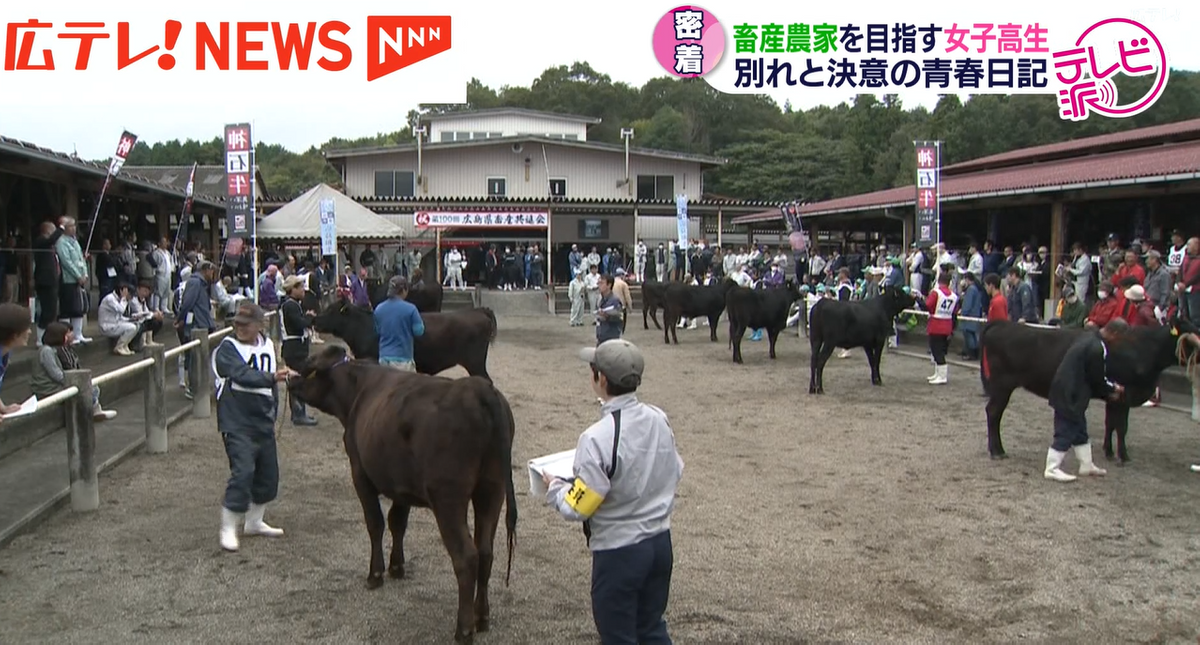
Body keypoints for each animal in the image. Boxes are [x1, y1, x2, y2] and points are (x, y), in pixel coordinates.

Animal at [290, 340, 520, 637]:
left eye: (308, 363)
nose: (289, 378)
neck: (357, 390)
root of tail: (479, 388)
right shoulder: (401, 484)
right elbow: (397, 522)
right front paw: (397, 566)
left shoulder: (360, 472)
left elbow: (376, 523)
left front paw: (375, 574)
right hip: (493, 489)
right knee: (485, 552)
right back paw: (482, 618)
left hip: (448, 497)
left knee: (466, 556)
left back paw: (464, 629)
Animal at [979, 314, 1195, 460]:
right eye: (1192, 332)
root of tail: (1002, 324)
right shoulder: (1125, 395)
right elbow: (1121, 426)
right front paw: (1123, 456)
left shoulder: (1114, 397)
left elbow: (1110, 424)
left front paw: (1109, 451)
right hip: (1002, 385)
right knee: (993, 412)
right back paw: (997, 451)